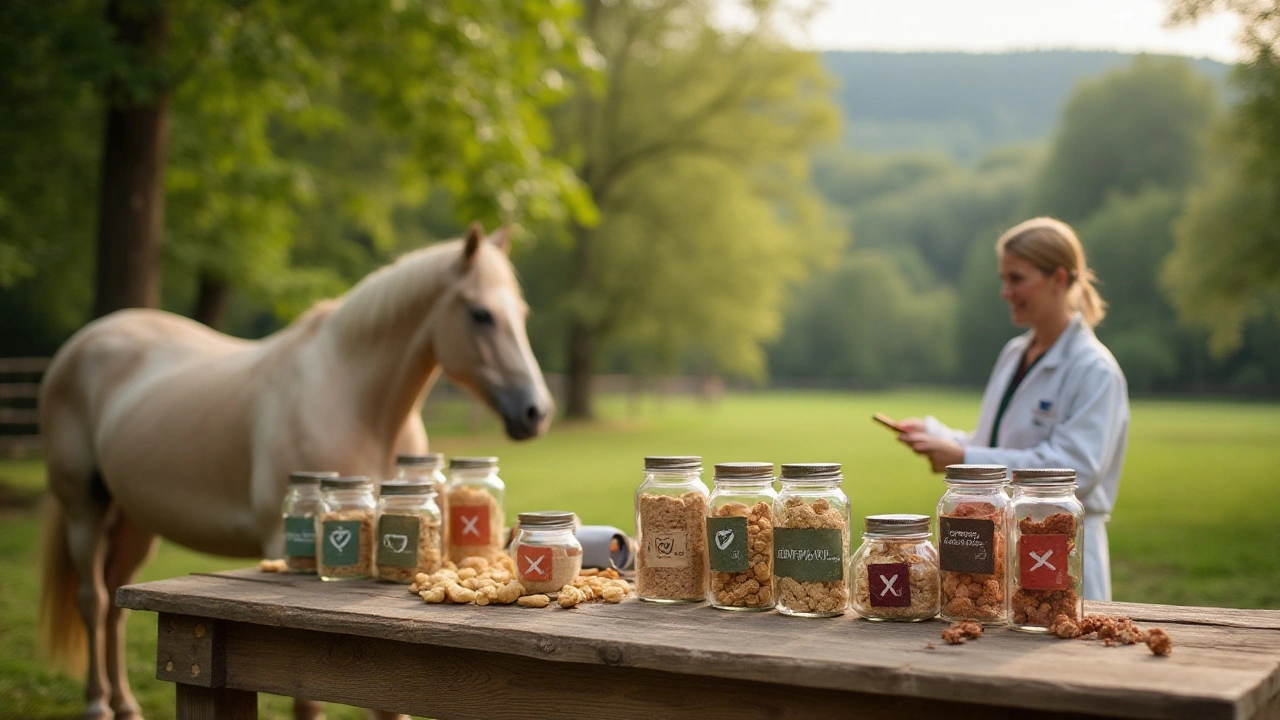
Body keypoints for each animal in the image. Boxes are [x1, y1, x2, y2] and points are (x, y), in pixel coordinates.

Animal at [36, 221, 550, 712]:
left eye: (524, 316)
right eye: (480, 314)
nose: (536, 411)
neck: (355, 401)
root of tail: (86, 340)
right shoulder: (278, 538)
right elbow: (306, 700)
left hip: (134, 520)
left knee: (115, 603)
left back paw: (125, 704)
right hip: (84, 507)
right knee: (93, 599)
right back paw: (98, 703)